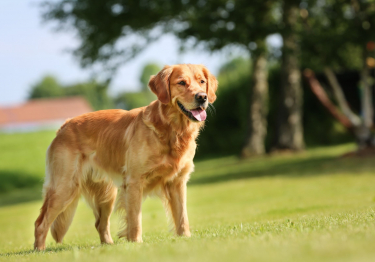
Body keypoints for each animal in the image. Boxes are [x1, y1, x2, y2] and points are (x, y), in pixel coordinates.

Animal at [35, 63, 219, 250]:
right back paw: (39, 250)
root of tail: (64, 125)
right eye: (181, 82)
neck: (171, 129)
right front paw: (136, 243)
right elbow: (135, 219)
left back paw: (108, 245)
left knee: (100, 224)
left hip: (107, 193)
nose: (202, 97)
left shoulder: (177, 182)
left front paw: (185, 238)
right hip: (65, 187)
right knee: (41, 223)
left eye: (202, 82)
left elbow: (182, 217)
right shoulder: (134, 181)